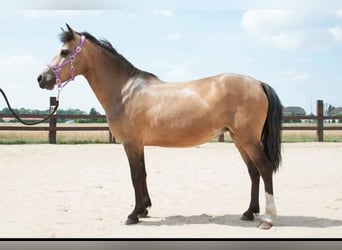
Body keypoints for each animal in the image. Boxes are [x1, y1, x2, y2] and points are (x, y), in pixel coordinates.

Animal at [38, 24, 284, 229]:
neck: (125, 91)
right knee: (253, 172)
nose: (41, 78)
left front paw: (133, 215)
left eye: (64, 52)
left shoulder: (130, 144)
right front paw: (144, 210)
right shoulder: (139, 145)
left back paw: (268, 219)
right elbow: (143, 174)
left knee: (264, 169)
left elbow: (135, 176)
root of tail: (259, 83)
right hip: (239, 139)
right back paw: (249, 213)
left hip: (248, 140)